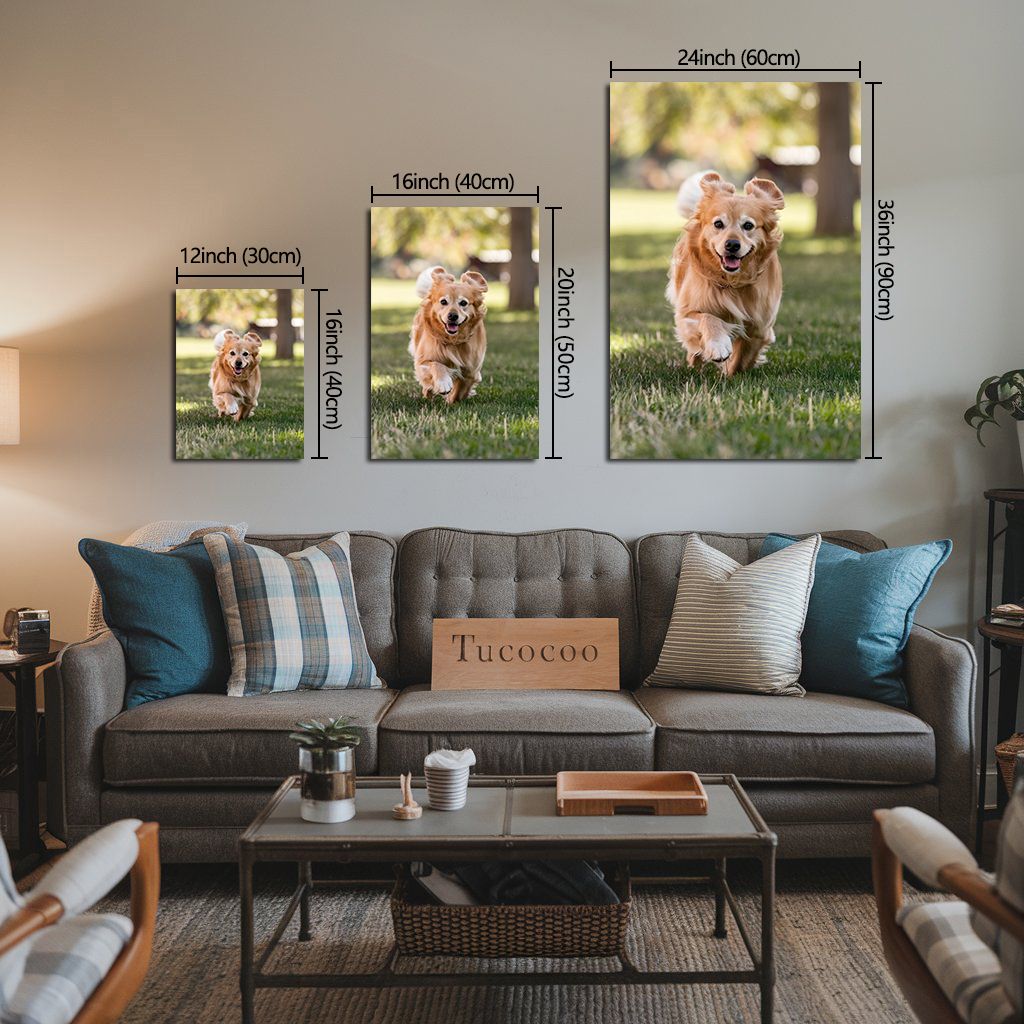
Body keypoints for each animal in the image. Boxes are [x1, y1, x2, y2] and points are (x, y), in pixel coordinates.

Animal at [407, 264, 487, 403]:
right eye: (443, 302)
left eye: (463, 303)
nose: (453, 316)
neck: (452, 340)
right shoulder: (422, 361)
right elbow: (436, 364)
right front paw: (443, 383)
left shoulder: (471, 371)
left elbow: (459, 391)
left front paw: (450, 400)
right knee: (426, 384)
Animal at [667, 169, 786, 378]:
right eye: (718, 224)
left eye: (748, 225)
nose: (732, 245)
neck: (732, 282)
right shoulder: (687, 312)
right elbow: (709, 318)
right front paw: (718, 345)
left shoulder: (760, 327)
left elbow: (741, 358)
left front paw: (729, 373)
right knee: (694, 350)